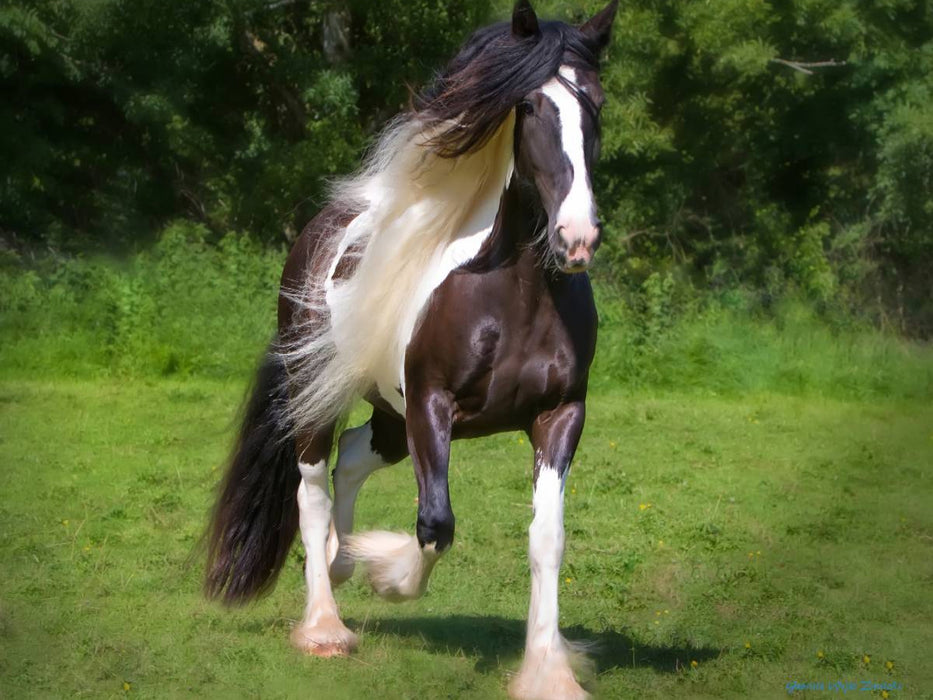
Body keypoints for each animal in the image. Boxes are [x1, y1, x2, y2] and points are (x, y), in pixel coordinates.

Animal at [205, 2, 618, 698]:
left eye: (596, 103)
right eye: (529, 105)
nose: (576, 237)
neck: (511, 295)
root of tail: (318, 232)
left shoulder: (560, 414)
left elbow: (547, 538)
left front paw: (548, 670)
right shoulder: (431, 405)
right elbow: (435, 524)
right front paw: (390, 577)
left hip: (390, 417)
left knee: (350, 460)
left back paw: (342, 562)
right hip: (326, 395)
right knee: (312, 489)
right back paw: (325, 625)